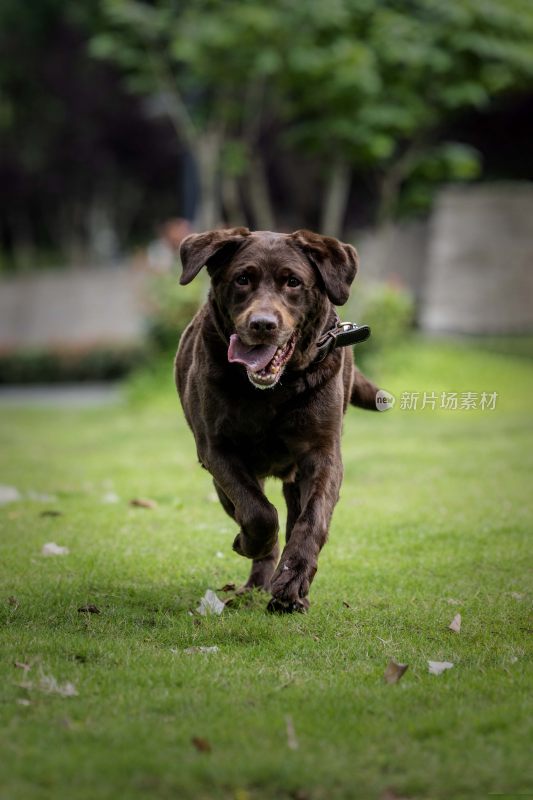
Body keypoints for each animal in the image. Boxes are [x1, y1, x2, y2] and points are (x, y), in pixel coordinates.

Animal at [175, 227, 378, 612]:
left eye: (293, 282)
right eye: (242, 279)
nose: (263, 325)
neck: (272, 391)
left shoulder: (322, 453)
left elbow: (311, 520)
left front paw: (293, 585)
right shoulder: (217, 450)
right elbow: (258, 513)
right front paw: (248, 544)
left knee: (295, 514)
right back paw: (257, 576)